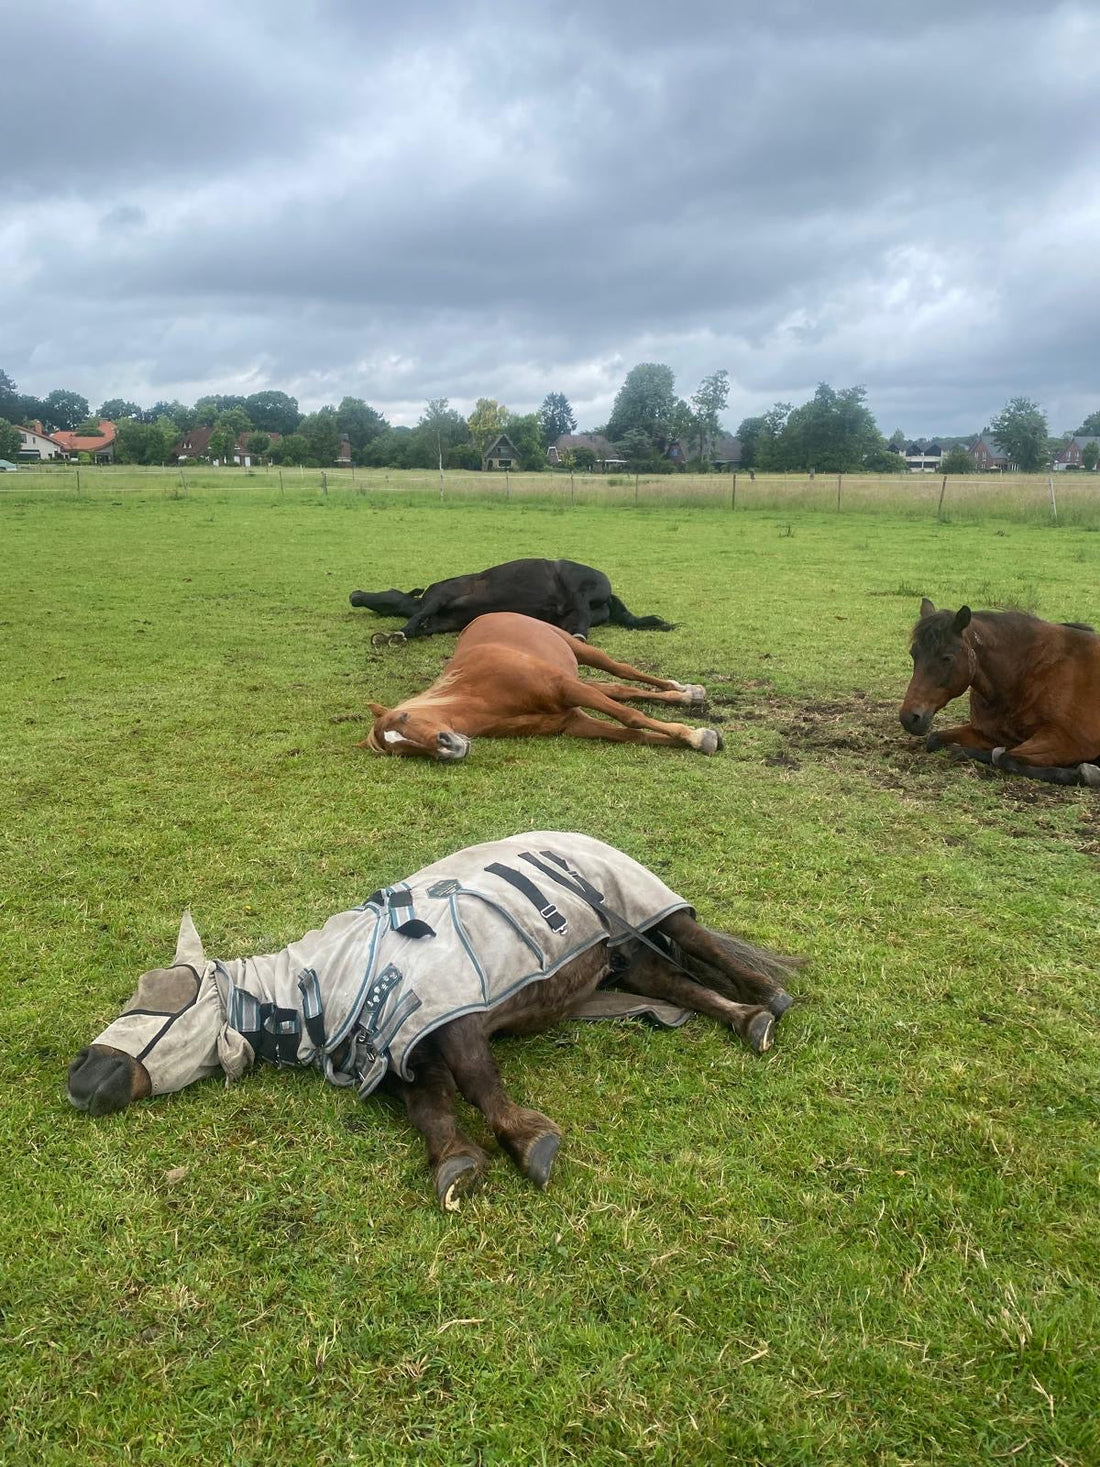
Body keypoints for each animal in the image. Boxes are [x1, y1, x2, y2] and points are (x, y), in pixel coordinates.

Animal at [67, 832, 802, 1208]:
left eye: (161, 993)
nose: (79, 1073)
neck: (331, 977)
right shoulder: (406, 1052)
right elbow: (432, 1108)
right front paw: (457, 1161)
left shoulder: (452, 1015)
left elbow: (479, 1083)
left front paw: (529, 1141)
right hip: (620, 959)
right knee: (678, 982)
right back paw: (746, 1019)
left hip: (648, 909)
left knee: (702, 946)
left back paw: (770, 1000)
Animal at [349, 558, 675, 644]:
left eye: (385, 594)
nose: (355, 596)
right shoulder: (439, 621)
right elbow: (421, 626)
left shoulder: (440, 596)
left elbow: (415, 619)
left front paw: (396, 634)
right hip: (567, 615)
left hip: (574, 582)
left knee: (582, 612)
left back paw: (580, 636)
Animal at [360, 613, 722, 759]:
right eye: (401, 751)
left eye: (405, 717)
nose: (448, 747)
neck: (483, 696)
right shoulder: (573, 722)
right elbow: (632, 734)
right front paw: (702, 740)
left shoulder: (567, 688)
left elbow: (631, 718)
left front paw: (696, 735)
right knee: (617, 688)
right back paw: (687, 696)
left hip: (580, 650)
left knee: (624, 671)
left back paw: (687, 690)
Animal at [900, 599, 1100, 786]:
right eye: (913, 654)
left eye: (947, 658)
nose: (909, 718)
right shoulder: (987, 733)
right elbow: (936, 740)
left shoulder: (1066, 740)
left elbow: (1006, 758)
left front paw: (1084, 773)